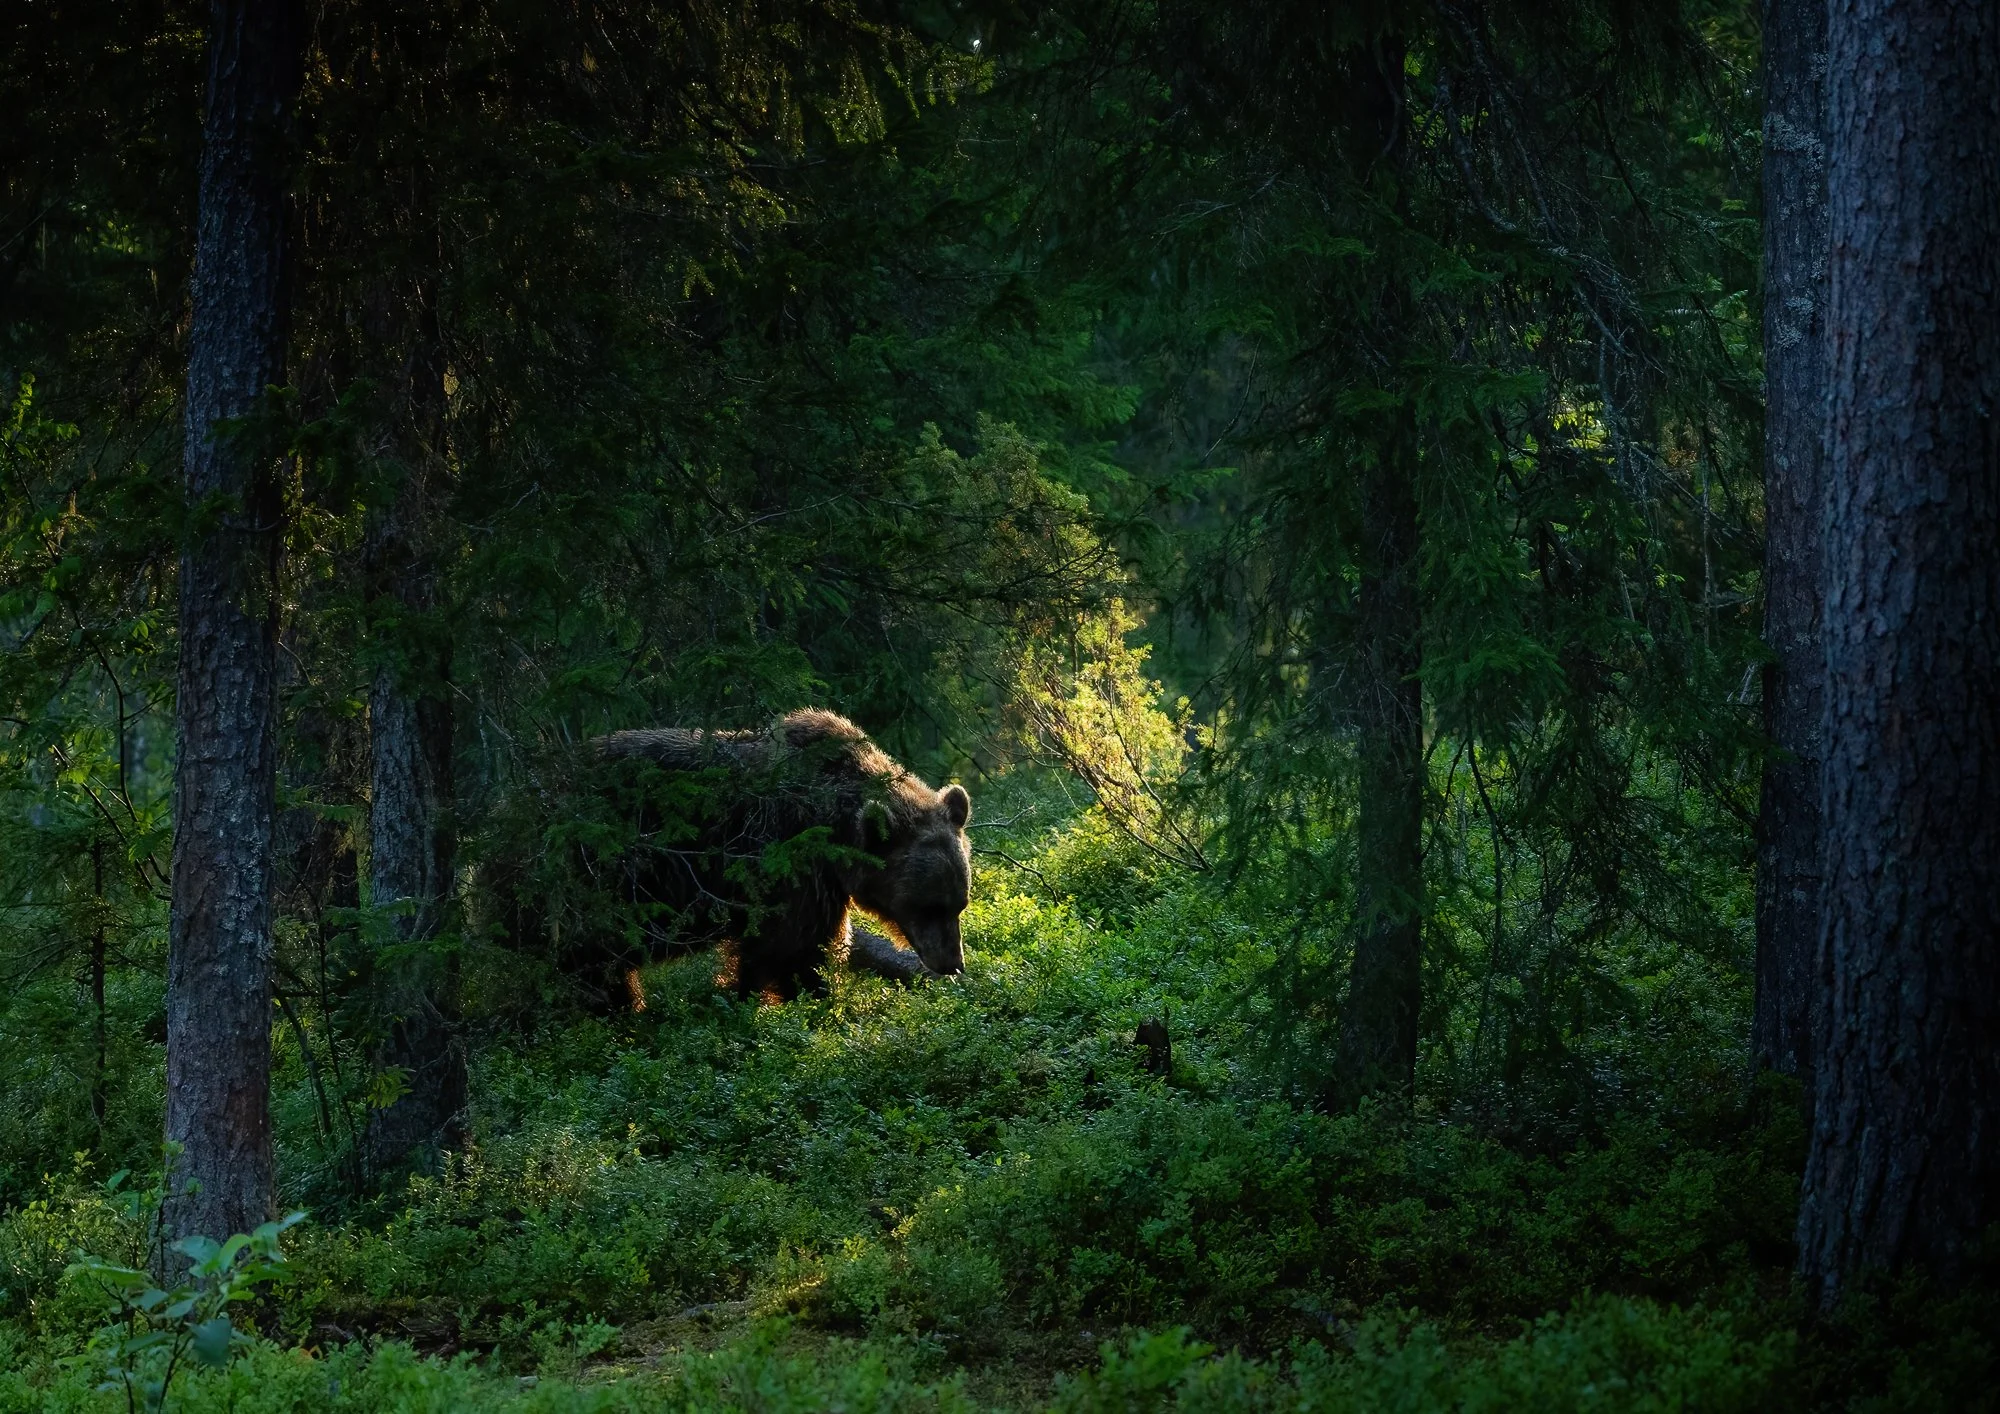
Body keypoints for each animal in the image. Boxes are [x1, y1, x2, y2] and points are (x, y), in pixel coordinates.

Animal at [543, 709, 971, 1005]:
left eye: (959, 904)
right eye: (926, 905)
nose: (952, 963)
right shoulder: (792, 862)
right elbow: (793, 948)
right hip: (606, 874)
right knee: (591, 956)